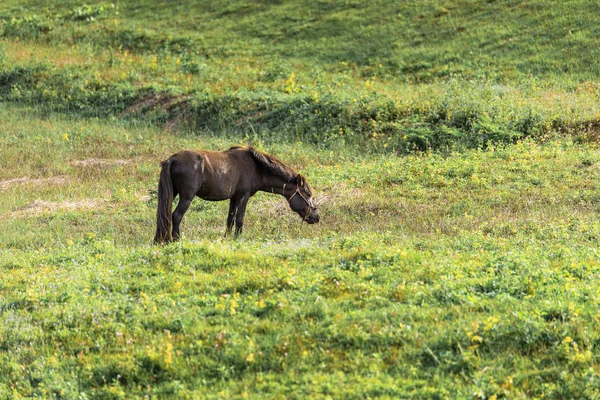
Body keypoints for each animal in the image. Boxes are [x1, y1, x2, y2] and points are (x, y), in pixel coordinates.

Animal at [155, 145, 318, 242]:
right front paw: (237, 238)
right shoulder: (243, 197)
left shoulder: (234, 198)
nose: (316, 217)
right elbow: (239, 219)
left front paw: (227, 237)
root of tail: (173, 159)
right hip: (186, 198)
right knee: (176, 216)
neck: (256, 167)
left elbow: (230, 219)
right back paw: (176, 240)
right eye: (308, 194)